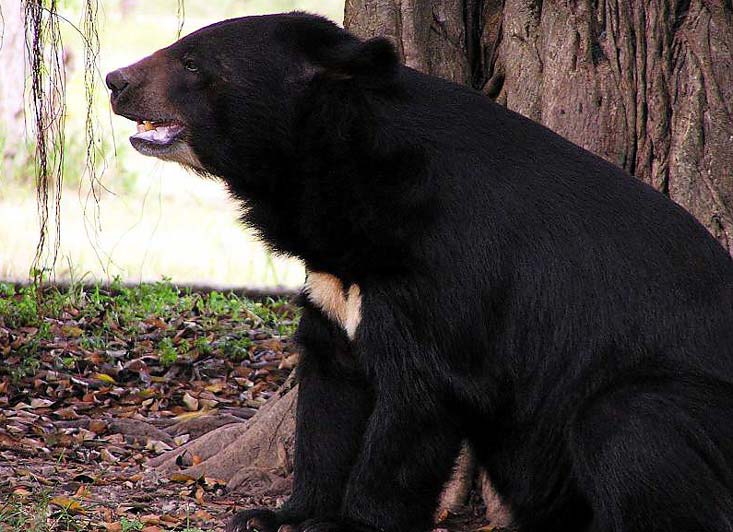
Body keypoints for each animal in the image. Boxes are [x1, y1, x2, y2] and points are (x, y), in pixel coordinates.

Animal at [106, 12, 733, 532]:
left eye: (192, 62)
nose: (115, 81)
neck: (348, 174)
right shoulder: (336, 276)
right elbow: (331, 390)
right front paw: (278, 515)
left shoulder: (452, 272)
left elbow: (419, 397)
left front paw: (347, 524)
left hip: (685, 409)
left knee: (630, 432)